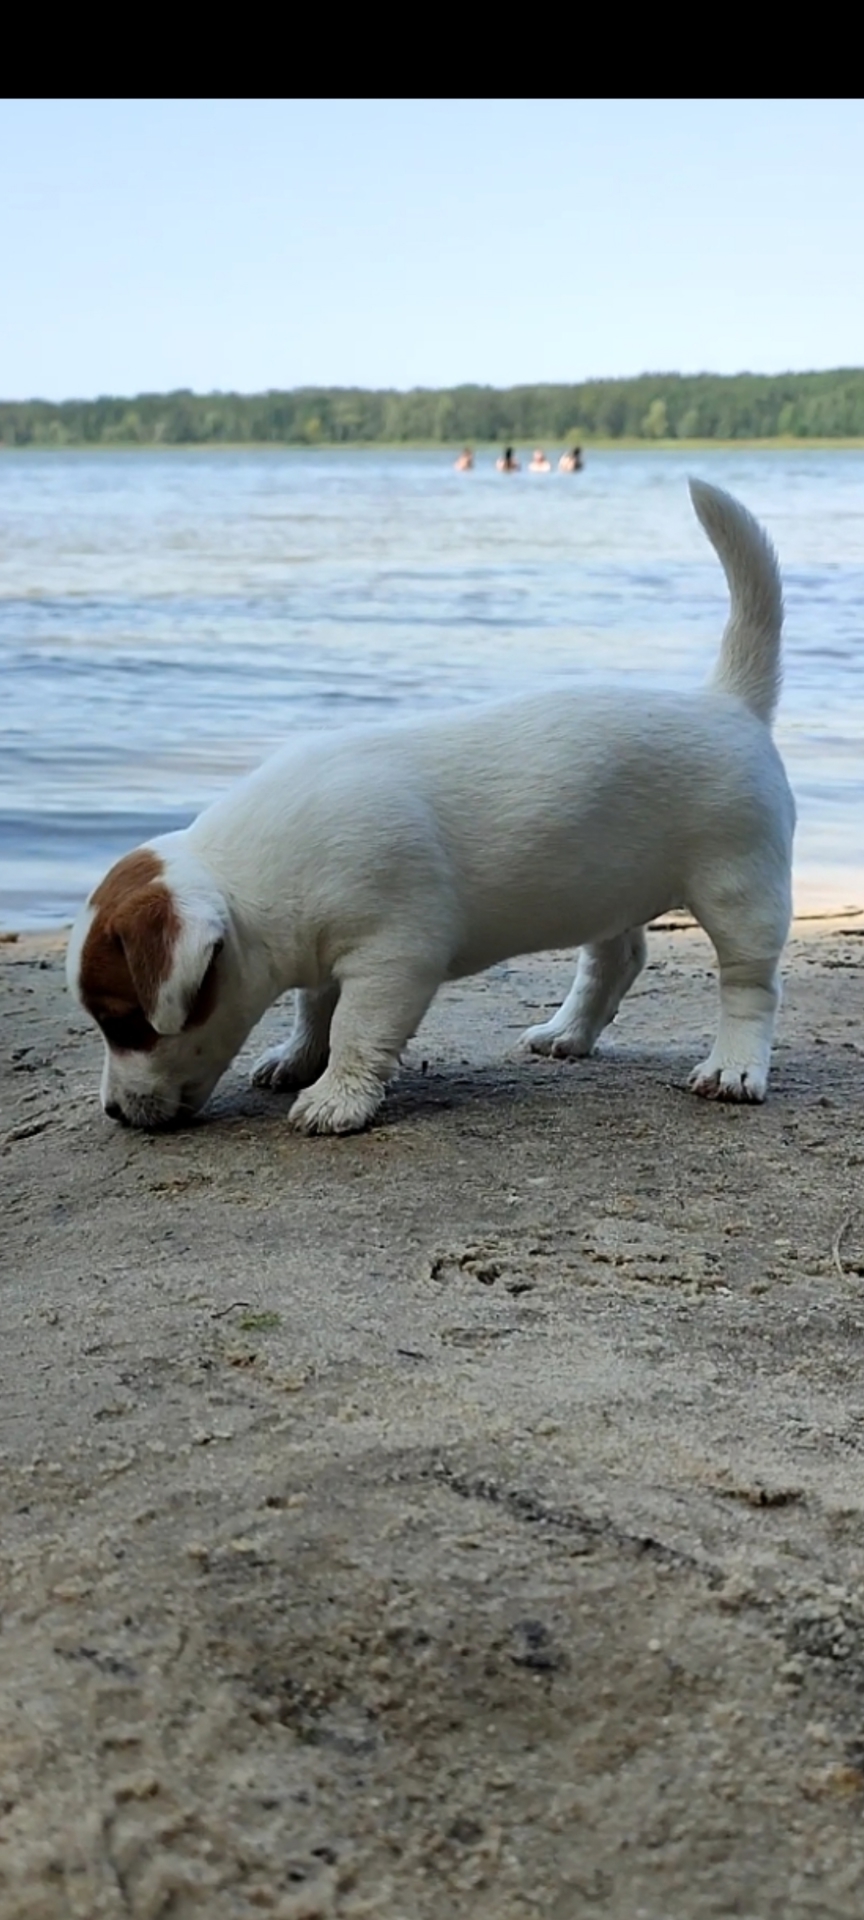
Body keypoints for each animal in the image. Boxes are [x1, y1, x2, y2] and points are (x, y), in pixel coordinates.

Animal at [67, 480, 794, 1128]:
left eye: (124, 1022)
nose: (114, 1114)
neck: (248, 880)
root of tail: (728, 701)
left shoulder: (391, 960)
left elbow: (356, 1029)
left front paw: (337, 1097)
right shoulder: (321, 951)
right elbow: (313, 1008)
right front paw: (298, 1058)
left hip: (740, 890)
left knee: (750, 985)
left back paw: (733, 1066)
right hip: (606, 885)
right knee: (615, 961)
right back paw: (569, 1032)